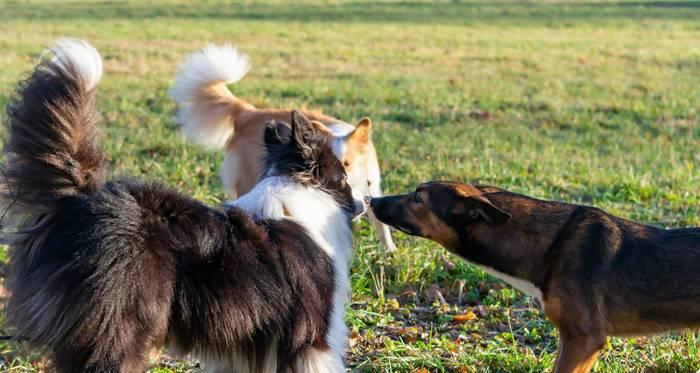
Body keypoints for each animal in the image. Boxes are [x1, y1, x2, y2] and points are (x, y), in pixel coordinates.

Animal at [0, 39, 360, 370]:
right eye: (344, 175)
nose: (363, 204)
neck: (300, 187)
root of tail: (82, 197)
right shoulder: (312, 336)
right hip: (121, 326)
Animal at [172, 45, 396, 250]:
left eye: (348, 163)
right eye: (338, 166)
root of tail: (248, 113)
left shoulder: (371, 187)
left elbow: (380, 221)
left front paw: (389, 250)